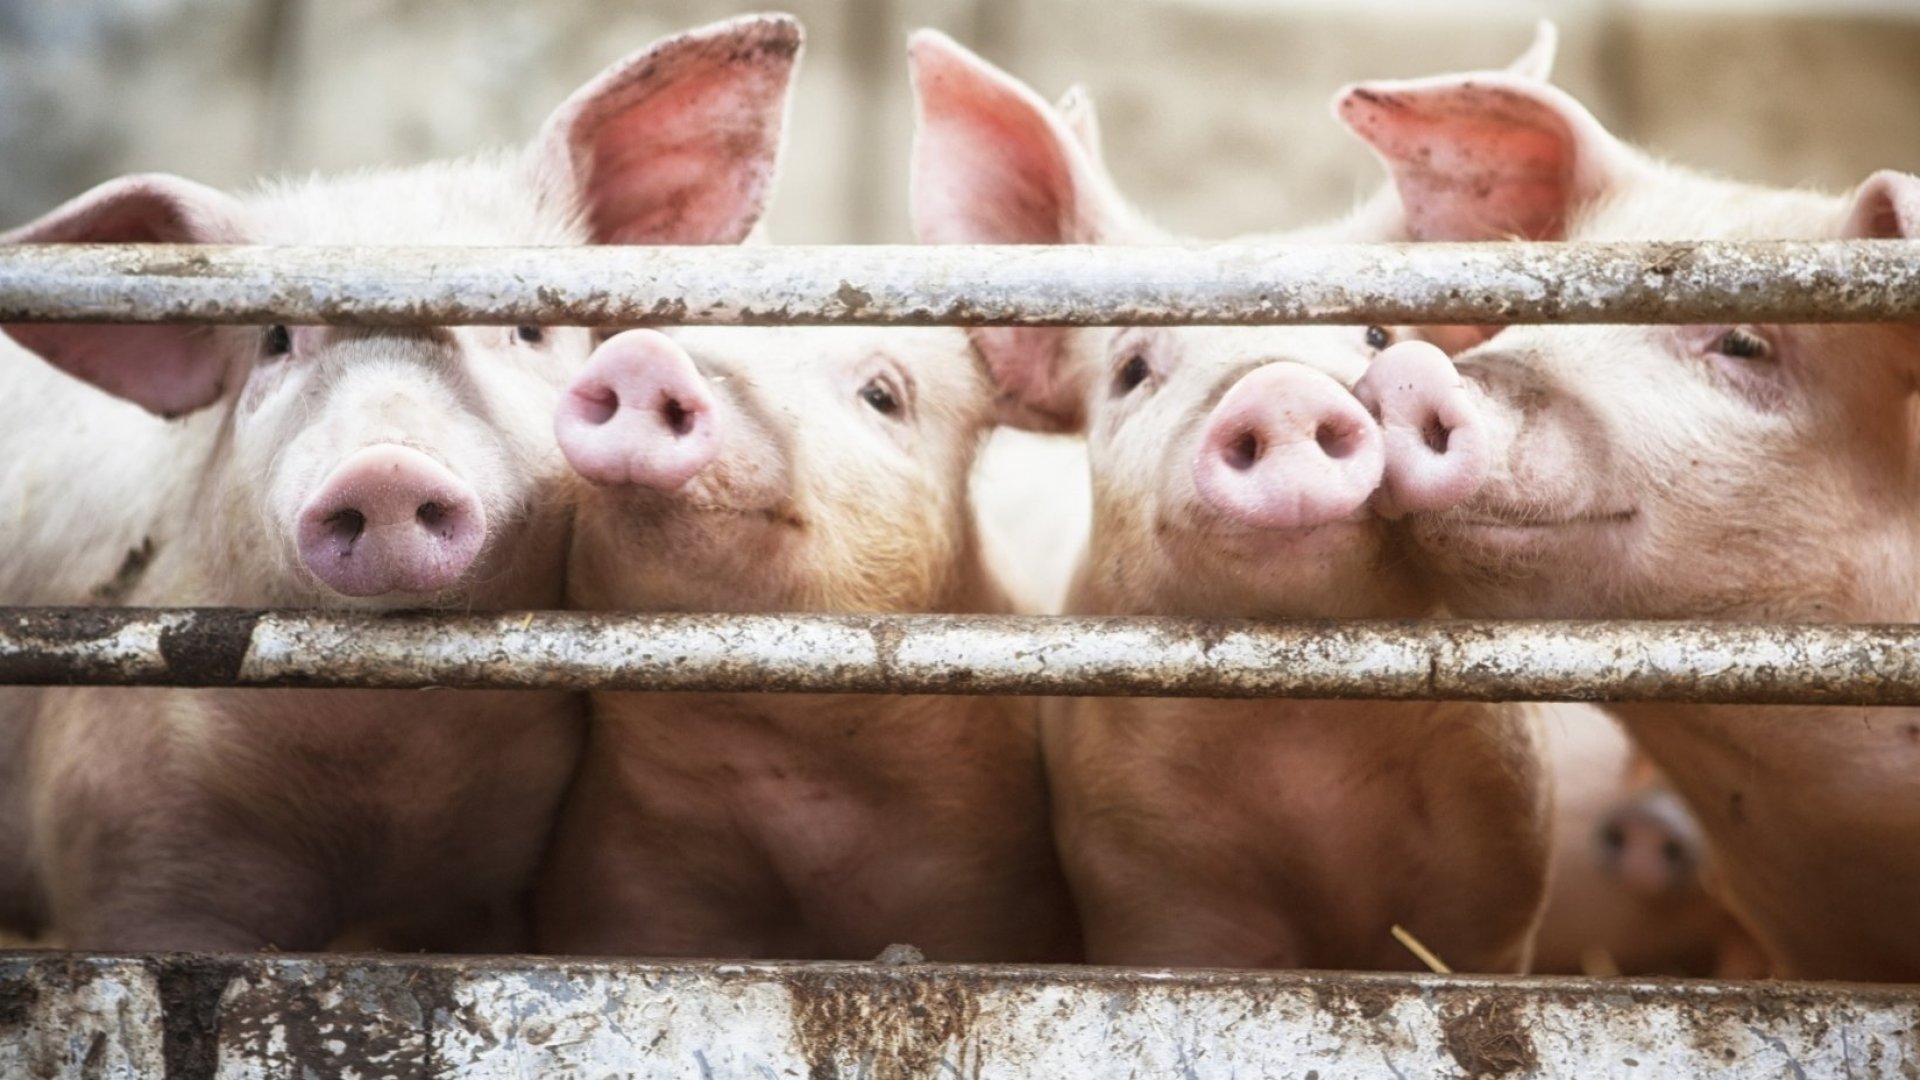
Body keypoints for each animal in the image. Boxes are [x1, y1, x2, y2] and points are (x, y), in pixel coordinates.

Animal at [908, 30, 1552, 971]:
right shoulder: (1148, 881)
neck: (1301, 738)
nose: (1280, 388)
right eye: (1133, 369)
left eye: (1378, 333)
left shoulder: (1498, 870)